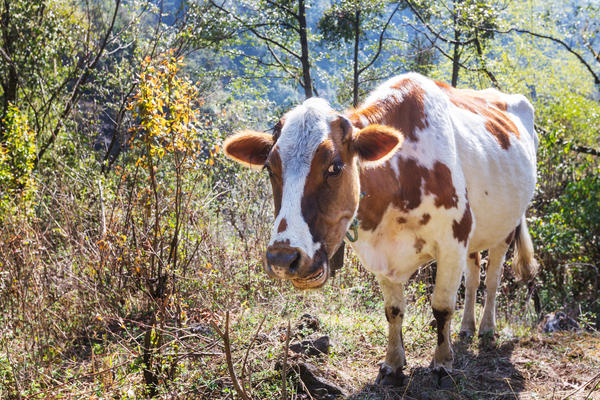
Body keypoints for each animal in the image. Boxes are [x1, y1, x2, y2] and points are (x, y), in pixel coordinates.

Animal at [221, 72, 540, 384]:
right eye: (270, 168)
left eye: (335, 166)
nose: (282, 258)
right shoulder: (380, 254)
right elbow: (393, 311)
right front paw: (393, 364)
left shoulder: (453, 241)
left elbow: (441, 307)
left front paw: (442, 363)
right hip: (478, 231)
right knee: (474, 276)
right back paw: (467, 327)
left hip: (506, 227)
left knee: (492, 279)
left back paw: (485, 329)